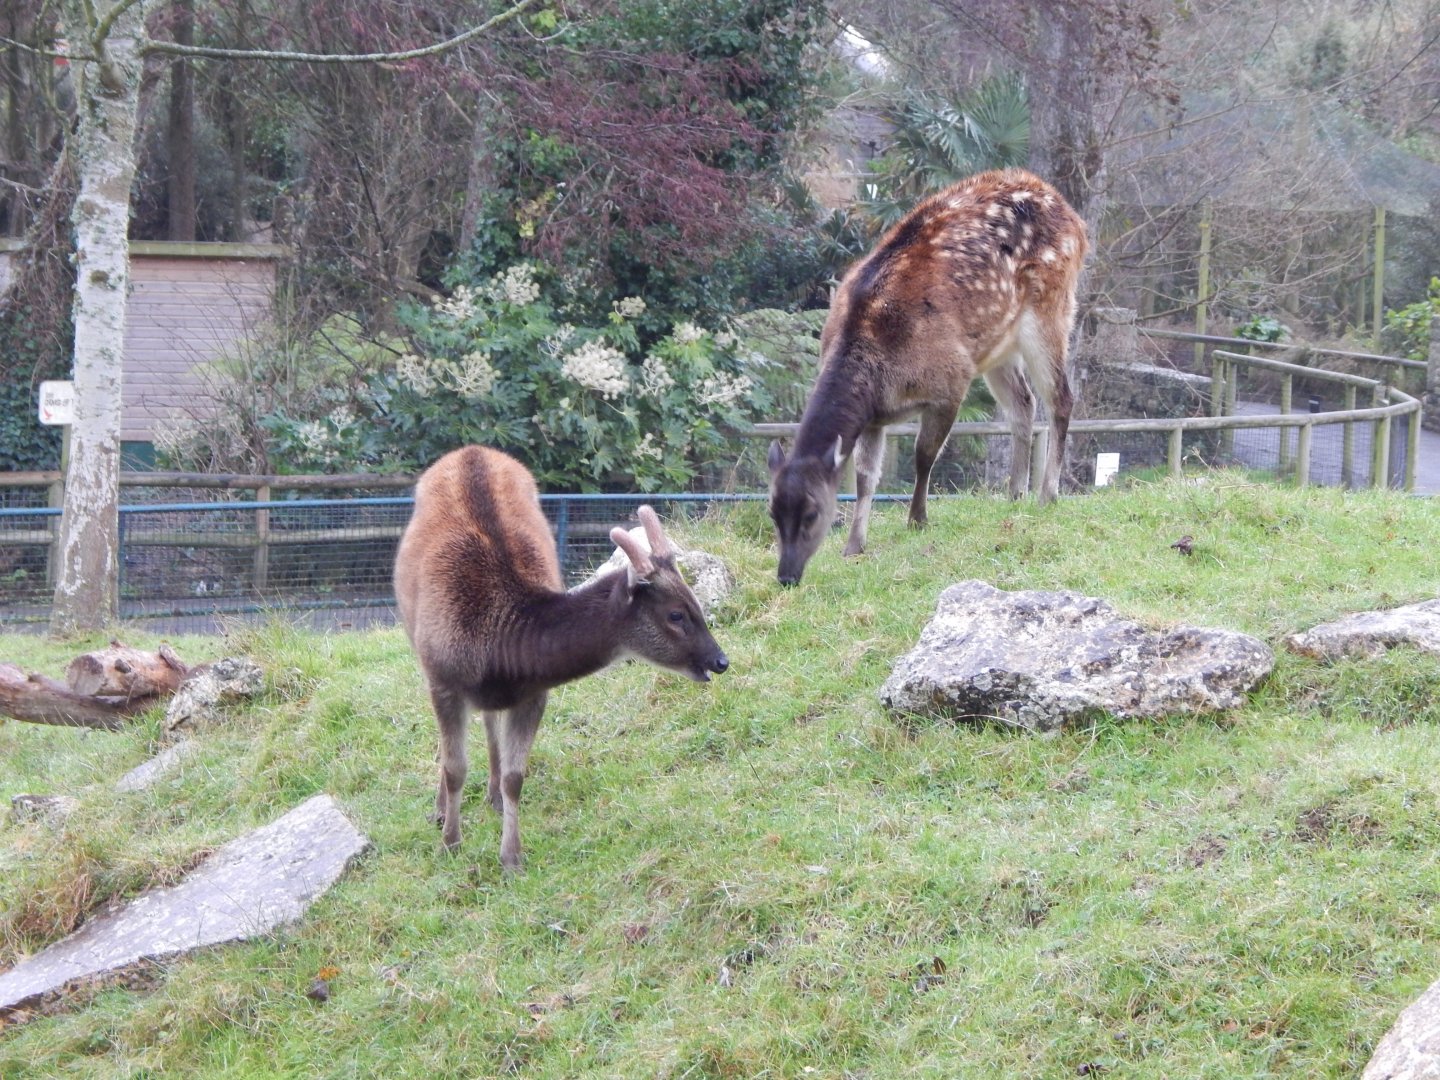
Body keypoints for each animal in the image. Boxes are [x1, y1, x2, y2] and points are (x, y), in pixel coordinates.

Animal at [393, 445, 730, 871]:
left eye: (697, 602)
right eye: (675, 614)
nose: (720, 660)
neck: (497, 648)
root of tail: (473, 450)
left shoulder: (535, 693)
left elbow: (516, 776)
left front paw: (512, 857)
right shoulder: (444, 679)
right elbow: (455, 768)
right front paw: (450, 843)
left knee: (489, 720)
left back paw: (492, 795)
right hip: (416, 640)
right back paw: (441, 811)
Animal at [768, 167, 1087, 586]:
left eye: (812, 514)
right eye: (772, 512)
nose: (786, 575)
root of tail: (1075, 219)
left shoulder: (950, 383)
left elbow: (924, 456)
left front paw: (917, 519)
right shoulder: (874, 418)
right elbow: (867, 477)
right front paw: (854, 546)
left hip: (1051, 307)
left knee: (1060, 398)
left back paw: (1047, 495)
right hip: (996, 345)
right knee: (1023, 403)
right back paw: (1014, 493)